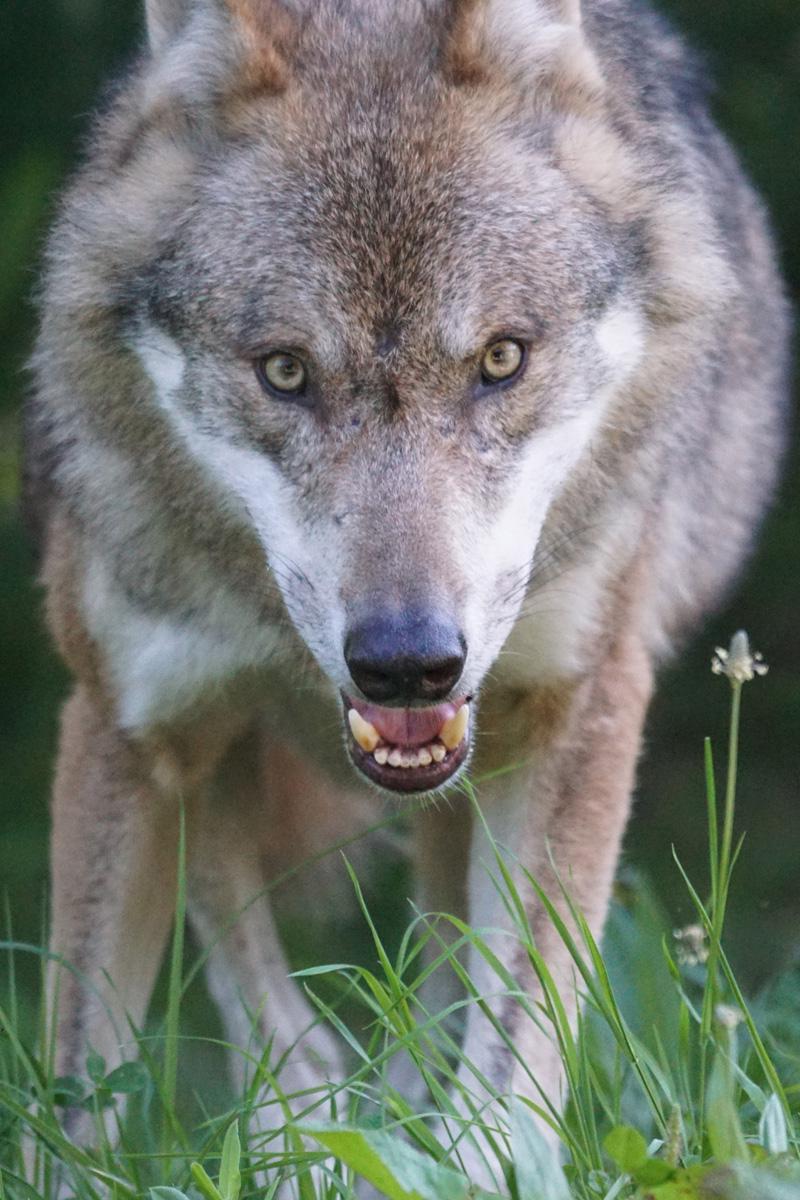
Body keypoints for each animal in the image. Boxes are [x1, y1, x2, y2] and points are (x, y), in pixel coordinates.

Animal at [26, 0, 788, 1178]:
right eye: (285, 371)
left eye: (501, 361)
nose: (405, 660)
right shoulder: (126, 722)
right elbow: (75, 1104)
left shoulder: (577, 706)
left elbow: (515, 1052)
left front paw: (469, 1165)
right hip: (210, 760)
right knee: (258, 966)